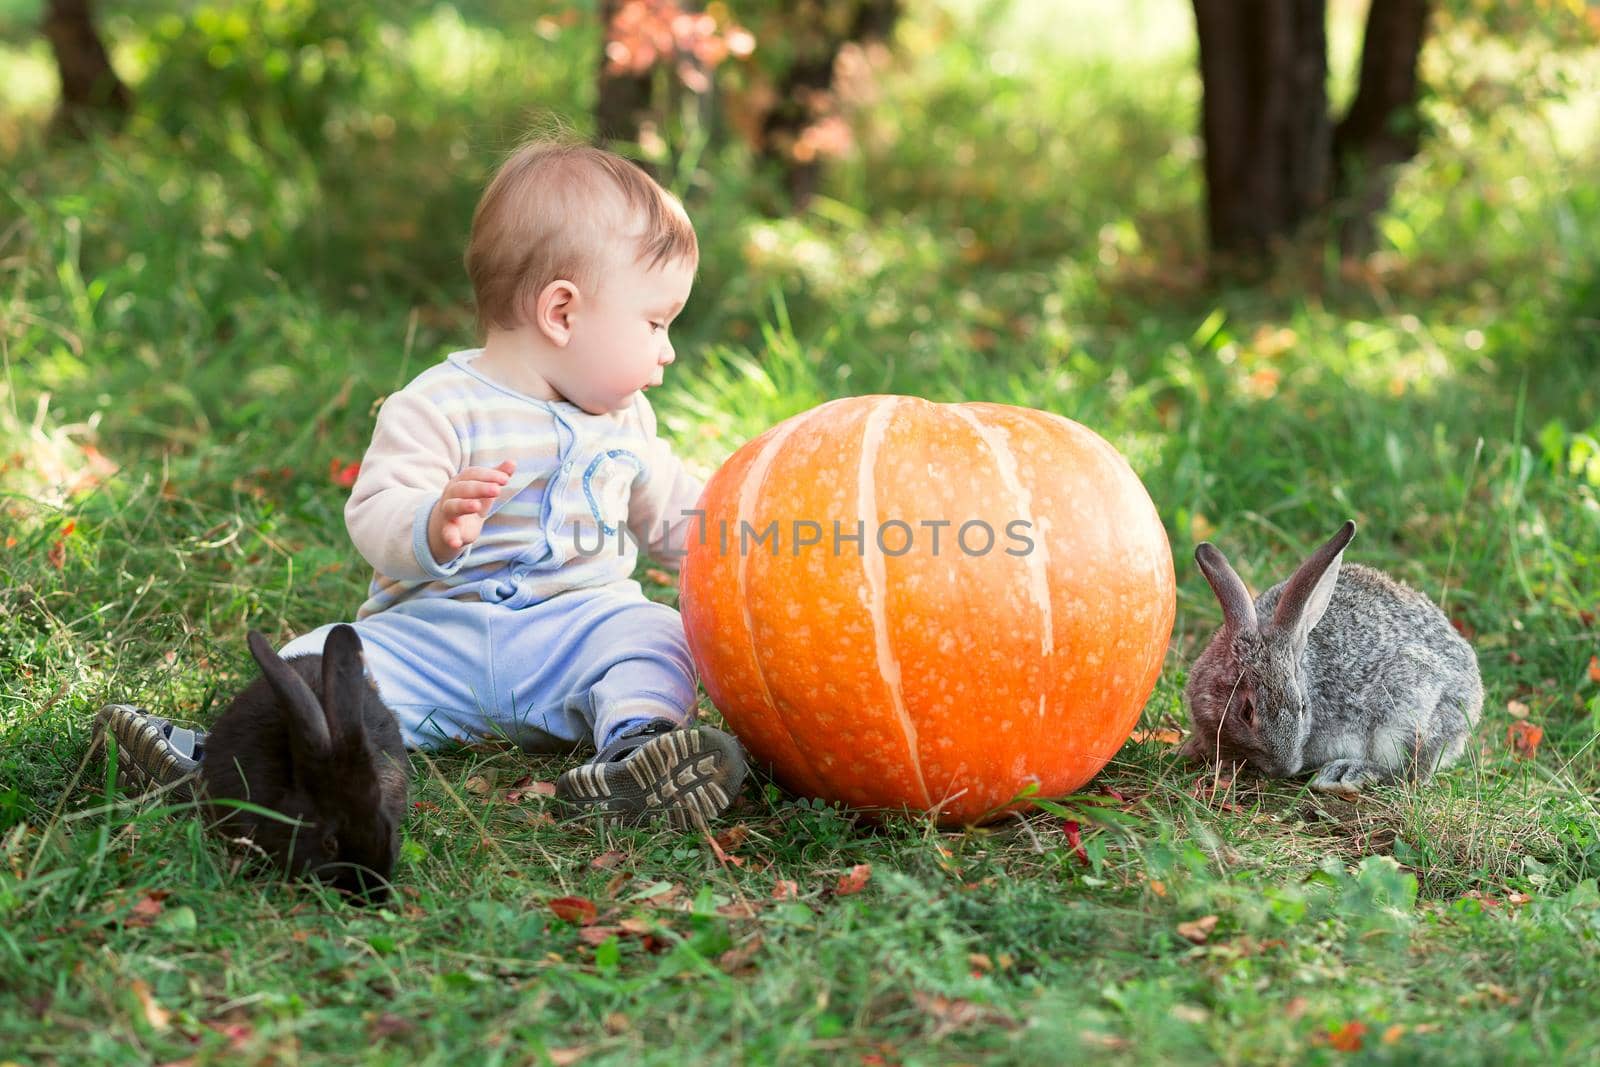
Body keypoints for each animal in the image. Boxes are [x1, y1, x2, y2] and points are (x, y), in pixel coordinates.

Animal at [1184, 521, 1478, 790]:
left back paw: (1346, 773)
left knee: (1409, 774)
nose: (1285, 768)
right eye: (1247, 712)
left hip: (1408, 710)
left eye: (1303, 707)